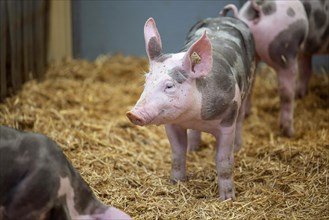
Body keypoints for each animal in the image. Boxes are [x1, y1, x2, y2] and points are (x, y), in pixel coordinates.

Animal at [127, 16, 255, 200]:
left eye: (170, 86)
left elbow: (224, 161)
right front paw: (175, 182)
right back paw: (194, 148)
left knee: (241, 118)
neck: (193, 116)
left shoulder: (227, 123)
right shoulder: (172, 124)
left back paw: (238, 148)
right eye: (146, 81)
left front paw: (227, 198)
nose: (133, 113)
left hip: (248, 86)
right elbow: (178, 154)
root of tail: (223, 17)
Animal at [219, 0, 328, 138]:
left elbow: (306, 69)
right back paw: (290, 132)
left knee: (251, 85)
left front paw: (302, 94)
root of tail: (259, 8)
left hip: (253, 57)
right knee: (286, 93)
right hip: (286, 52)